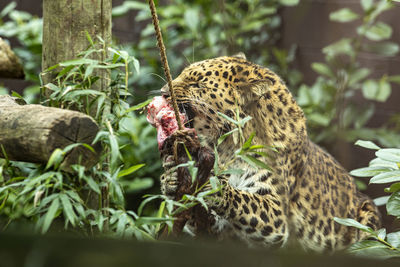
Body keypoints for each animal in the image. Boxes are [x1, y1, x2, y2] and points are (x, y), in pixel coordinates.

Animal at [157, 54, 382, 253]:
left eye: (197, 84)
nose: (163, 92)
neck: (228, 146)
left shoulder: (276, 215)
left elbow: (242, 199)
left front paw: (212, 185)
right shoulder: (219, 232)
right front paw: (171, 178)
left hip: (367, 216)